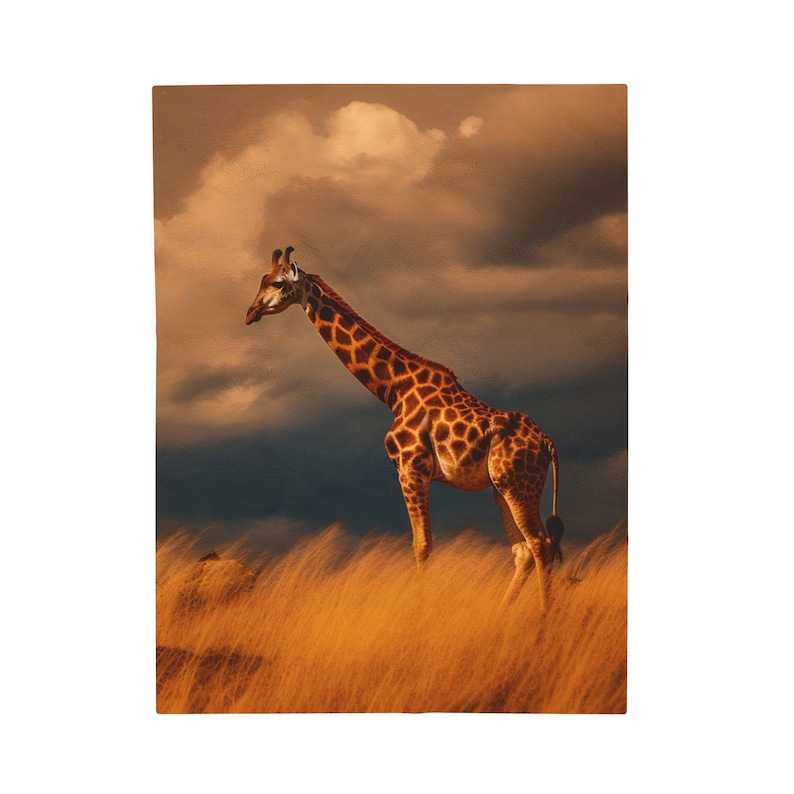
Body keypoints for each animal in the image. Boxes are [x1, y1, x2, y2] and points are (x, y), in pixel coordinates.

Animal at [245, 247, 564, 608]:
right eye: (261, 279)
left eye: (279, 282)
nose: (251, 312)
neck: (394, 390)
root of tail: (548, 443)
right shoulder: (415, 471)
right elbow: (423, 544)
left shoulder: (410, 468)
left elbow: (422, 545)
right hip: (501, 489)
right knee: (524, 549)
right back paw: (504, 613)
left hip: (518, 485)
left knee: (541, 544)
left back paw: (543, 614)